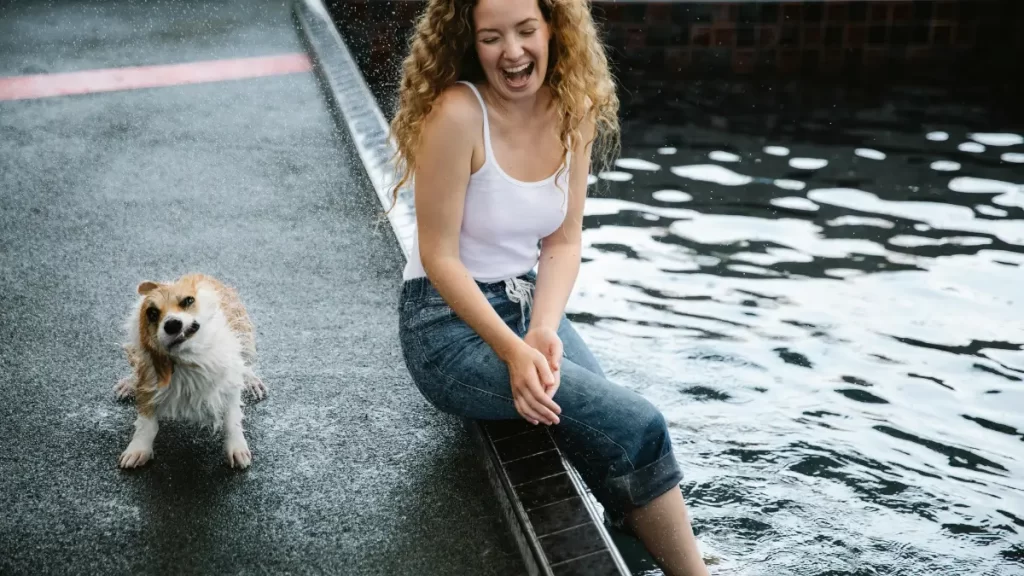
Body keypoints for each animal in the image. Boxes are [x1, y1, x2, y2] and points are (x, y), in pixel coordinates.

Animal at [113, 272, 266, 467]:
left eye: (188, 301)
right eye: (152, 314)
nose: (172, 324)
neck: (188, 359)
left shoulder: (228, 380)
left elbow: (232, 419)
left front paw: (236, 447)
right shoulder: (148, 378)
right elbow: (146, 422)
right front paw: (138, 448)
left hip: (245, 335)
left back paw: (252, 380)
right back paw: (128, 383)